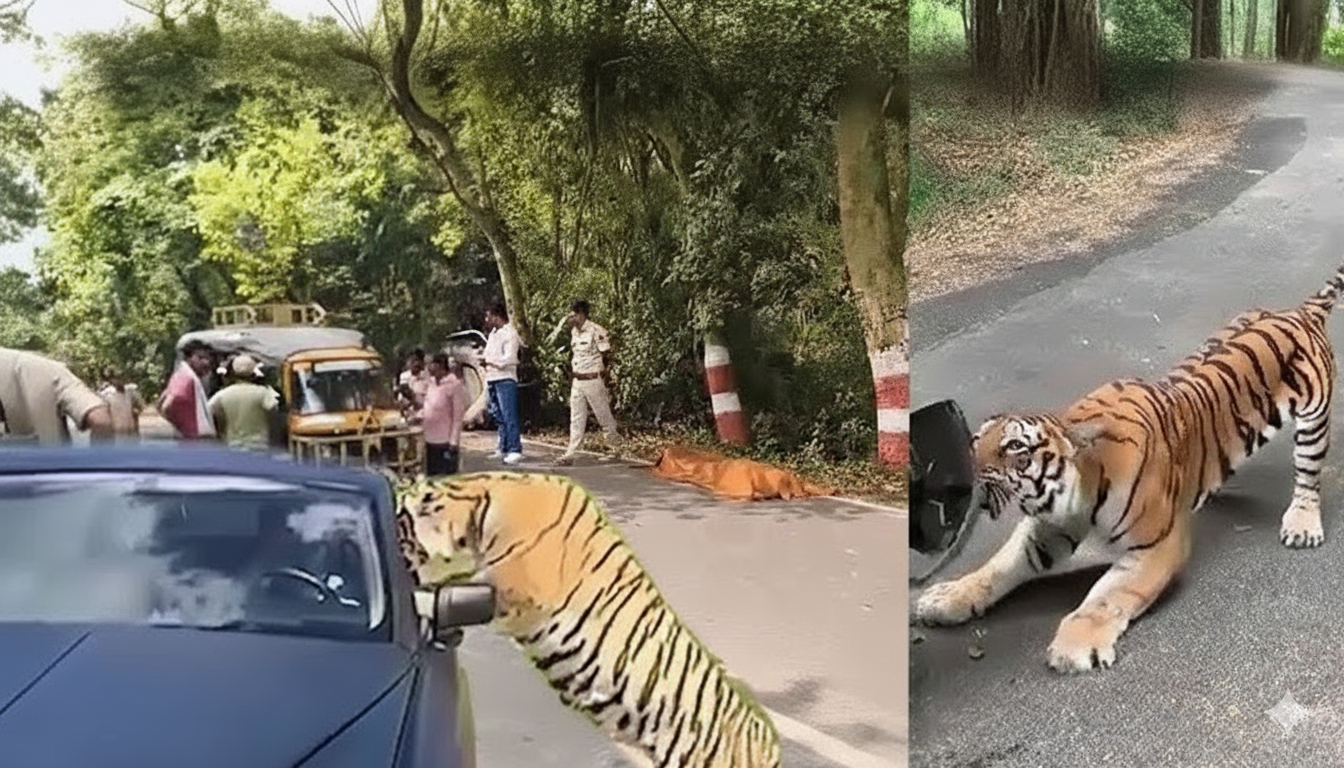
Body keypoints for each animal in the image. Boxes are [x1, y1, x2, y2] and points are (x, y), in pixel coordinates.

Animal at [913, 262, 1344, 674]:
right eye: (974, 440)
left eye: (1014, 446)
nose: (960, 475)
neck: (1068, 500)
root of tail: (1297, 311)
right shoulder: (1042, 534)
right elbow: (994, 571)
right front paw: (947, 597)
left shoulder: (1156, 546)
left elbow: (1107, 597)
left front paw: (1075, 647)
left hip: (1313, 419)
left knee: (1307, 478)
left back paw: (1302, 525)